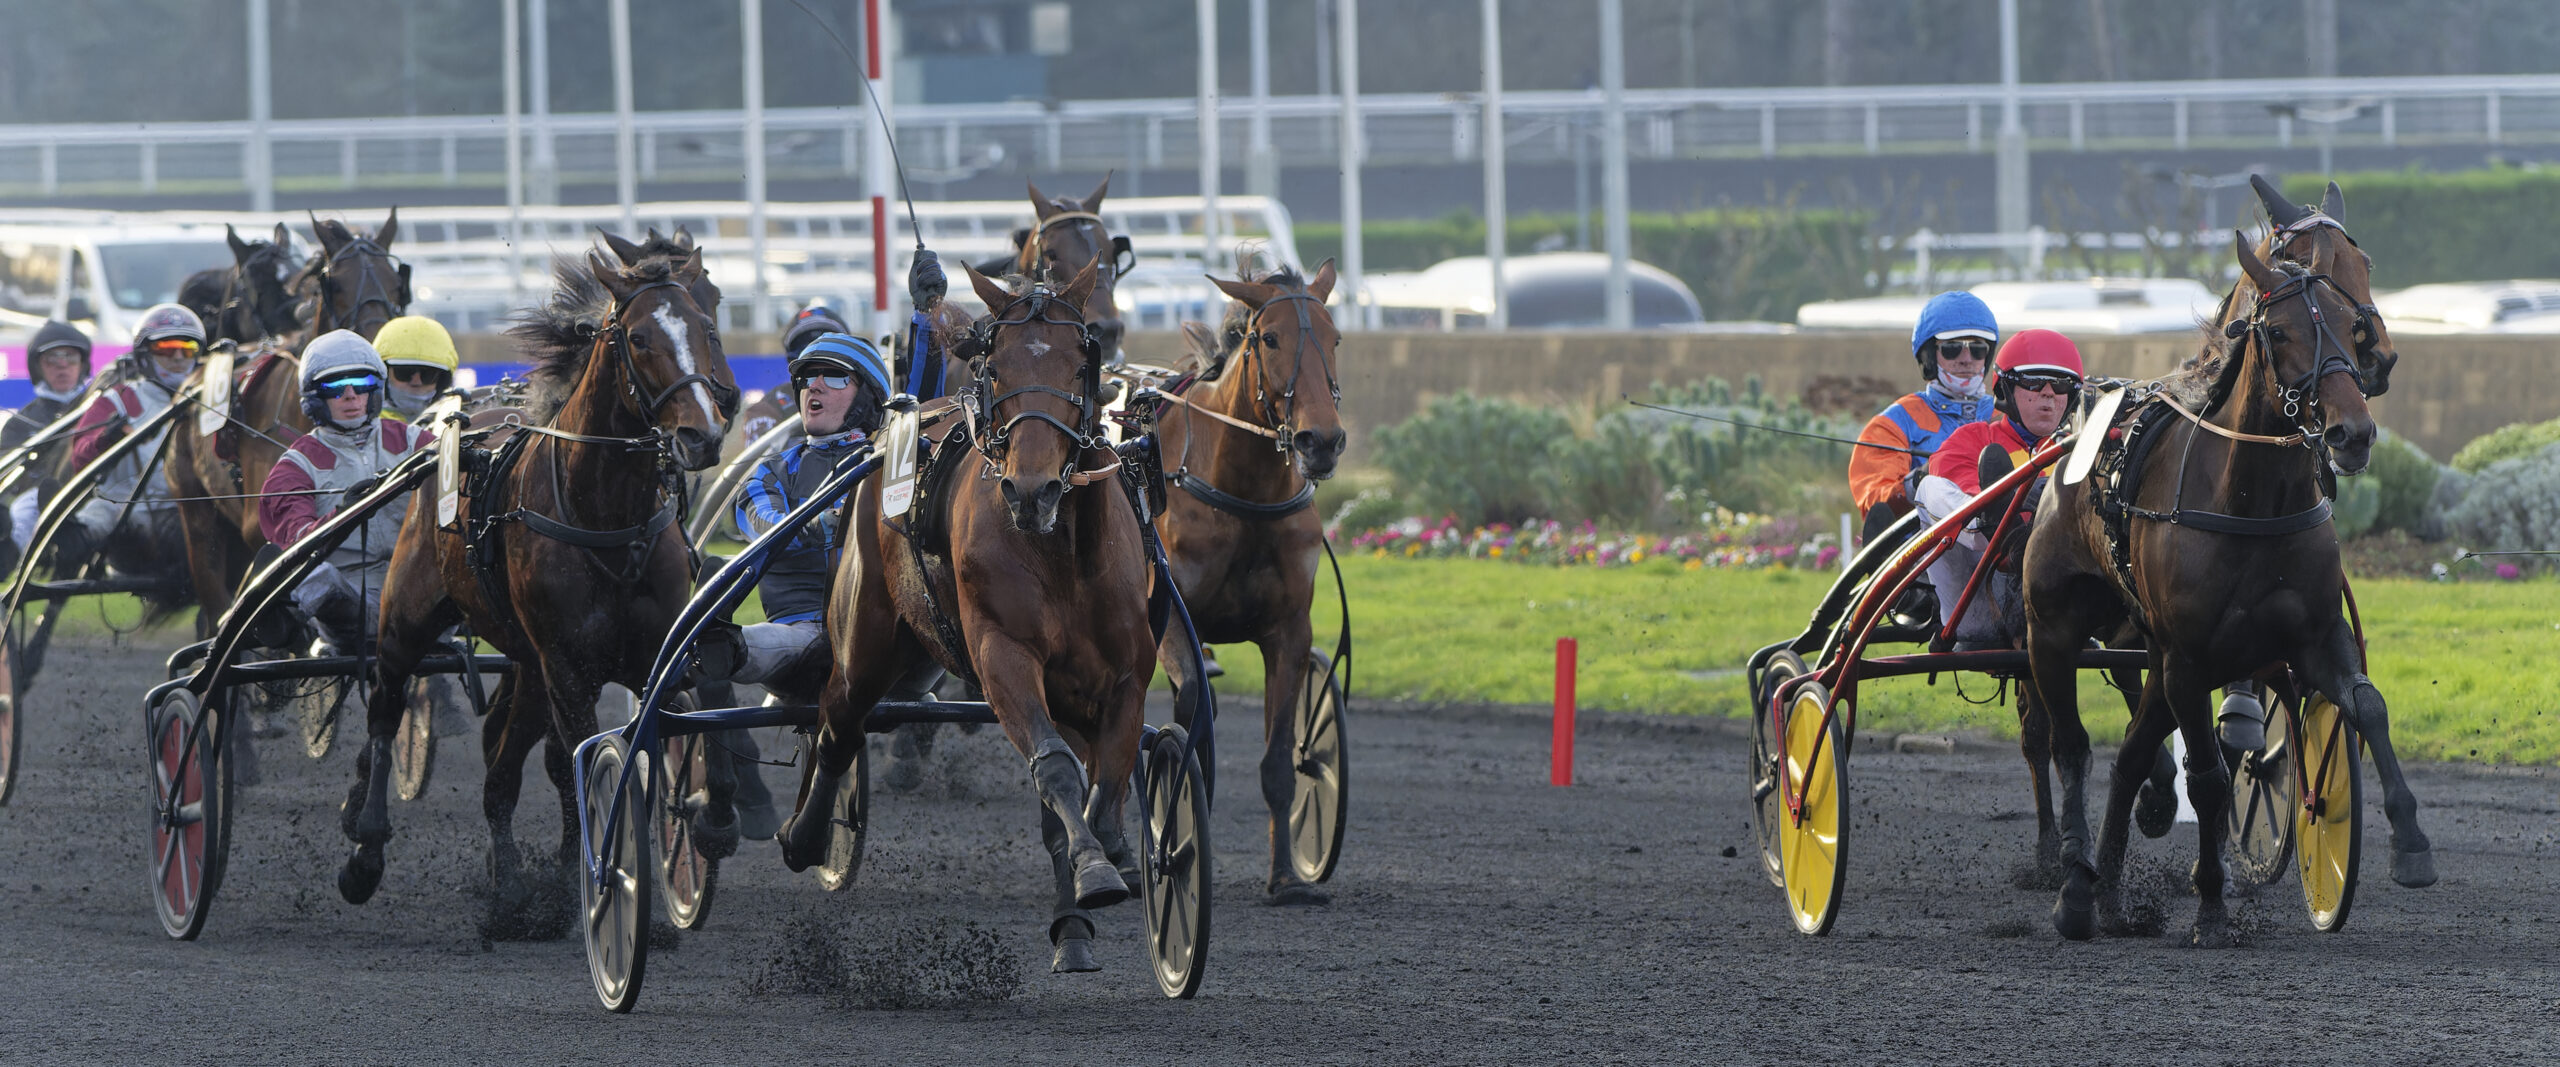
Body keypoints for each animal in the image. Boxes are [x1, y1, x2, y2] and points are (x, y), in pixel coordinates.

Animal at [327, 239, 732, 916]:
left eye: (707, 325)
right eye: (640, 337)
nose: (703, 433)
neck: (608, 518)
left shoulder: (652, 650)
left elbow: (702, 707)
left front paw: (710, 815)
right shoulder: (565, 665)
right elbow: (581, 763)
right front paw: (597, 873)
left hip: (524, 663)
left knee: (501, 761)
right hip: (408, 616)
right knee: (387, 707)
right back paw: (368, 848)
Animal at [773, 259, 1146, 972]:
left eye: (1079, 362)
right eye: (994, 366)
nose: (1032, 490)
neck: (1062, 551)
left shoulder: (1123, 675)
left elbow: (1105, 780)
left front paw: (1112, 857)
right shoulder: (1004, 656)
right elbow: (1055, 767)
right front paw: (1094, 869)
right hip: (867, 635)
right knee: (837, 719)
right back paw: (804, 835)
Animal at [1162, 258, 1361, 900]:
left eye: (1335, 338)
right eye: (1269, 338)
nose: (1321, 441)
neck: (1241, 492)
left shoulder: (1288, 629)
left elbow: (1279, 762)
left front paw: (1288, 878)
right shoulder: (1169, 617)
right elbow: (1190, 713)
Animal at [2027, 245, 2426, 941]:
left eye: (2350, 327)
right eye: (2282, 332)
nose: (2352, 433)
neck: (2253, 498)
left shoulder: (2313, 635)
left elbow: (2368, 705)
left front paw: (2410, 845)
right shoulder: (2190, 659)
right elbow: (2210, 779)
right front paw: (2211, 905)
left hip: (2155, 658)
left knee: (2131, 756)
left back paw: (2110, 895)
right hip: (2052, 630)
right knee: (2070, 748)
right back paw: (2075, 888)